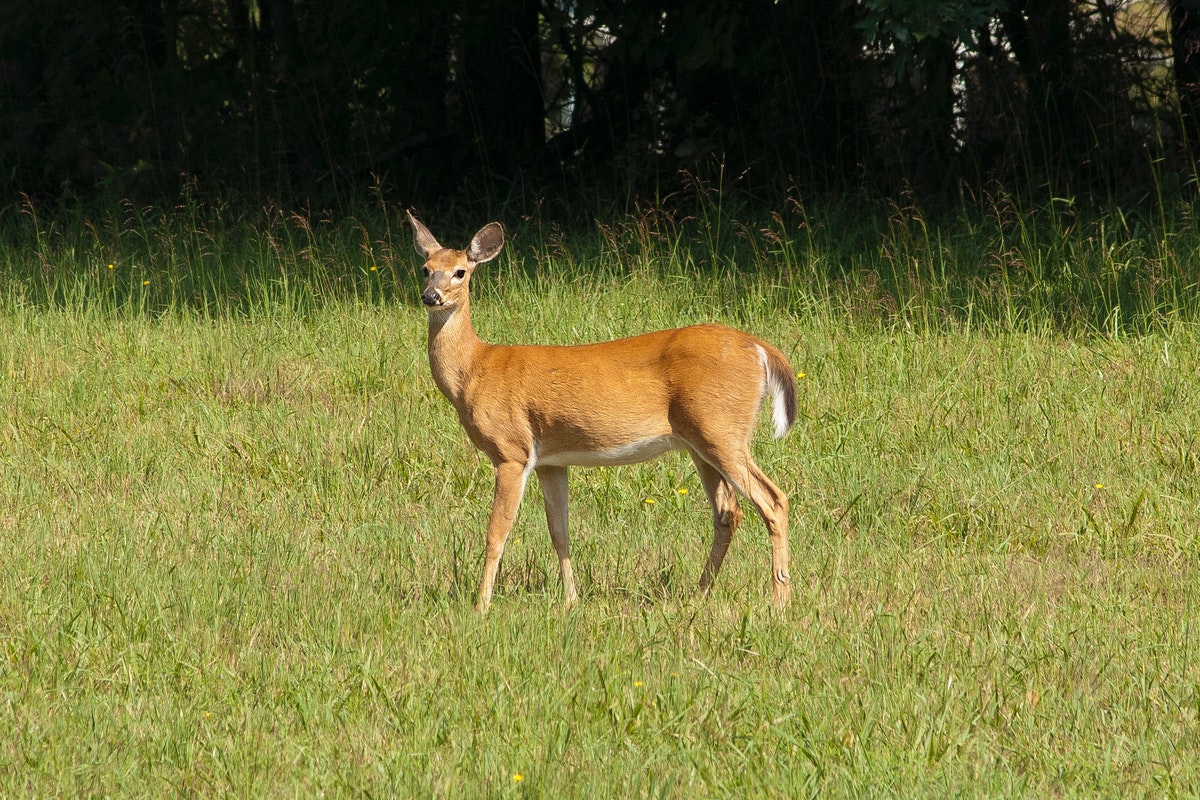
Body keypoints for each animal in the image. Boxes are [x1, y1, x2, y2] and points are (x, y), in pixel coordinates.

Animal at [410, 211, 796, 614]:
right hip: (700, 442)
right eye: (425, 269)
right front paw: (571, 600)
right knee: (728, 512)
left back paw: (780, 602)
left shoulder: (510, 450)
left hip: (721, 429)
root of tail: (760, 348)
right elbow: (559, 532)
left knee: (773, 500)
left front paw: (481, 606)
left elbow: (496, 533)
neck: (475, 369)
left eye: (460, 271)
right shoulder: (550, 461)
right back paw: (699, 594)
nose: (431, 296)